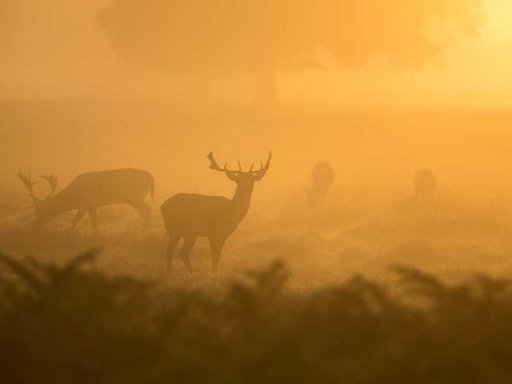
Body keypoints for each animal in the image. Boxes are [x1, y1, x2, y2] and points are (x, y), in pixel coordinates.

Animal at [18, 169, 154, 234]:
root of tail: (151, 176)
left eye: (39, 212)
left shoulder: (89, 202)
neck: (74, 196)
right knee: (147, 210)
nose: (37, 226)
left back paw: (143, 231)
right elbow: (78, 219)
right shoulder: (85, 205)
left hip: (135, 197)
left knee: (148, 210)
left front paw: (96, 235)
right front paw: (70, 231)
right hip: (135, 198)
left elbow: (88, 220)